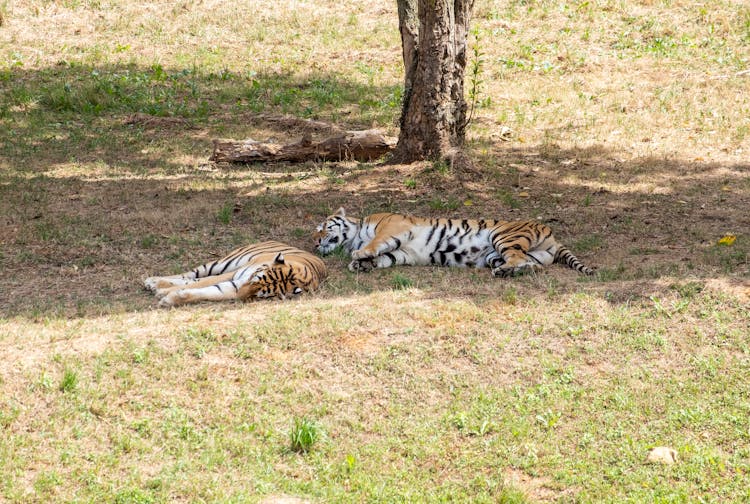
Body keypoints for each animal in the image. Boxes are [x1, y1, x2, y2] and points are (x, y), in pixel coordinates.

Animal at [144, 241, 326, 308]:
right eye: (255, 279)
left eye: (262, 294)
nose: (240, 296)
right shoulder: (236, 275)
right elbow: (202, 283)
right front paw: (161, 291)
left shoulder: (233, 285)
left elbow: (206, 290)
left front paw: (169, 298)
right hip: (225, 263)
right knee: (191, 274)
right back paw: (153, 281)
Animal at [314, 209, 596, 280]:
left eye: (322, 227)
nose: (316, 243)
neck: (356, 232)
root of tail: (552, 236)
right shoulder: (405, 252)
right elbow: (386, 257)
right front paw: (362, 265)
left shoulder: (393, 228)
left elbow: (377, 243)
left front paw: (359, 256)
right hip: (501, 254)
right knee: (530, 264)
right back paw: (507, 272)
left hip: (502, 236)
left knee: (518, 258)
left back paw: (504, 272)